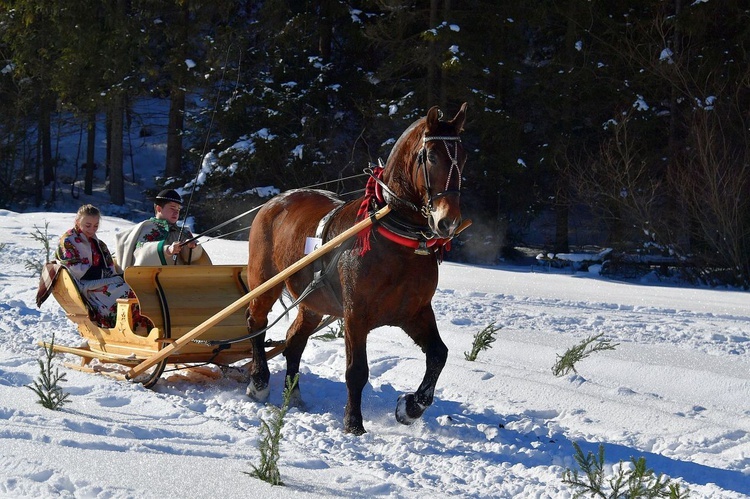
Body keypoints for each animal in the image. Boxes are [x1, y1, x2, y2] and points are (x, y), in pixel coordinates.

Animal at [247, 103, 468, 436]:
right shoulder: (355, 315)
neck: (395, 239)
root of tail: (274, 202)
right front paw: (353, 423)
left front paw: (410, 407)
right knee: (256, 322)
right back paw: (259, 382)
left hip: (314, 303)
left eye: (463, 157)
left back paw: (293, 394)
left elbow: (438, 355)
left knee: (294, 341)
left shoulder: (414, 312)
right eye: (430, 156)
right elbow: (356, 371)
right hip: (266, 281)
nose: (448, 221)